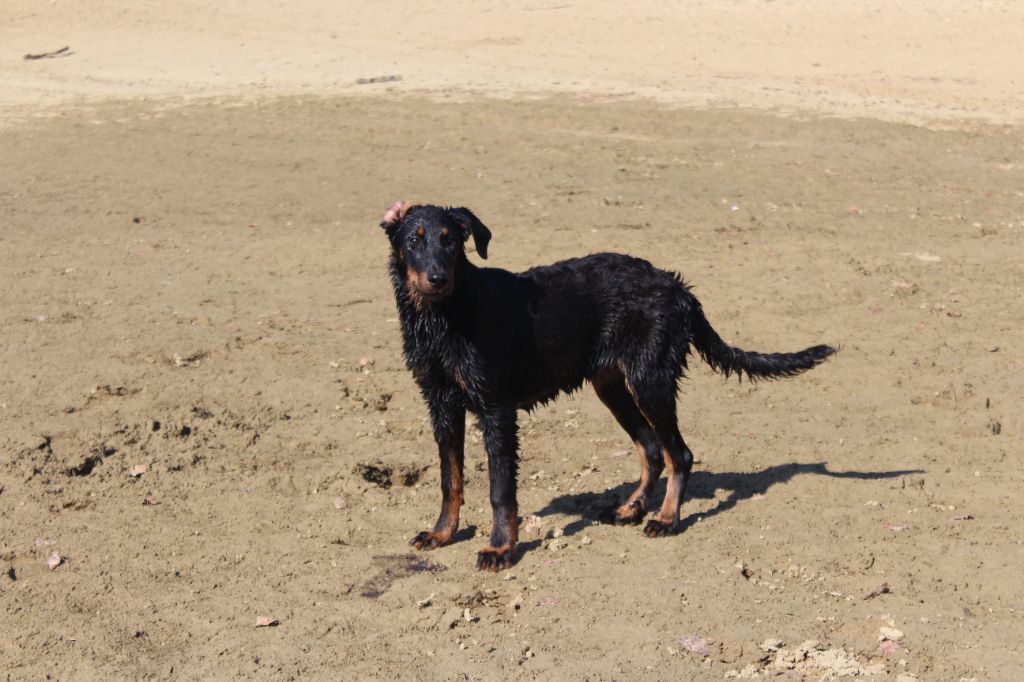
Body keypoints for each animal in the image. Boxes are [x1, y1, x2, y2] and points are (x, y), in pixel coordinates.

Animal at [380, 200, 835, 569]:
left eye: (452, 242)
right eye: (415, 240)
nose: (437, 277)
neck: (446, 314)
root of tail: (678, 288)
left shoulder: (496, 409)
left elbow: (500, 489)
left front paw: (500, 548)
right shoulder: (441, 404)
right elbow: (450, 478)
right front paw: (442, 532)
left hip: (650, 379)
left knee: (679, 454)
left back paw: (666, 518)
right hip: (614, 386)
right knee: (652, 449)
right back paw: (631, 509)